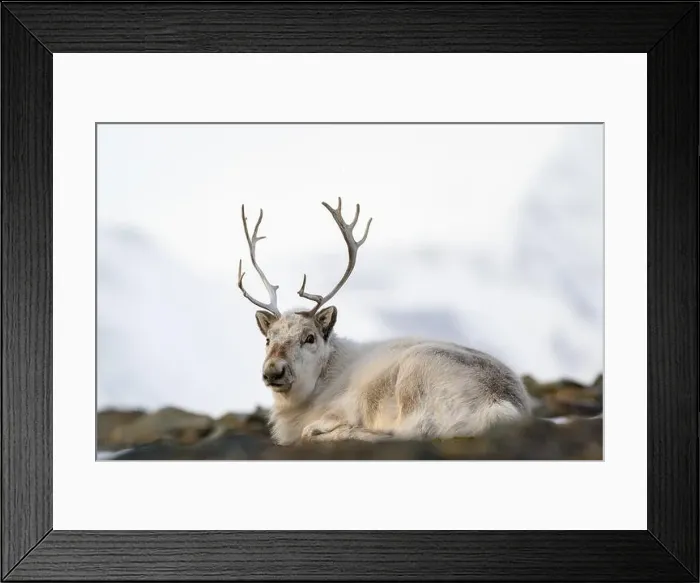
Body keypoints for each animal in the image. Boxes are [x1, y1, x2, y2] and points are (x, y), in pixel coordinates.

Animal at [237, 198, 532, 445]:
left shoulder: (344, 407)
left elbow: (314, 429)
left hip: (416, 373)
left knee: (407, 432)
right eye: (268, 339)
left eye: (309, 337)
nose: (273, 371)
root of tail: (501, 404)